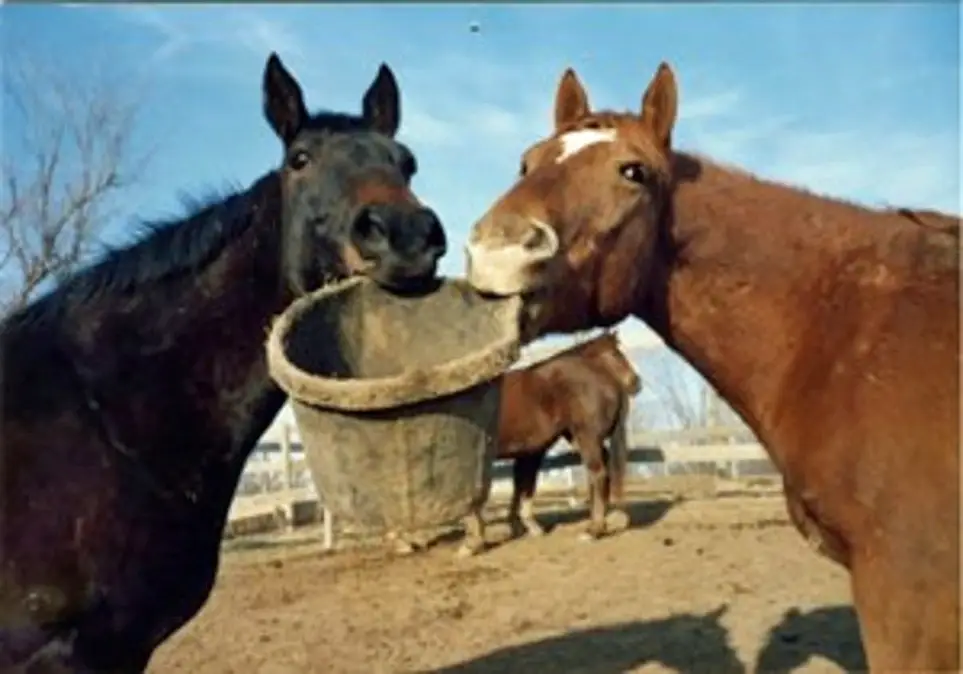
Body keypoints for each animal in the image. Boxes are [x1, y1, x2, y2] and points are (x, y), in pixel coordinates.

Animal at [496, 331, 641, 543]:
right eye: (614, 354)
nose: (636, 382)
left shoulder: (531, 452)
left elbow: (525, 486)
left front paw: (526, 525)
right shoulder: (526, 454)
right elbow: (521, 485)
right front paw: (519, 526)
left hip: (586, 438)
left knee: (598, 473)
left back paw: (595, 529)